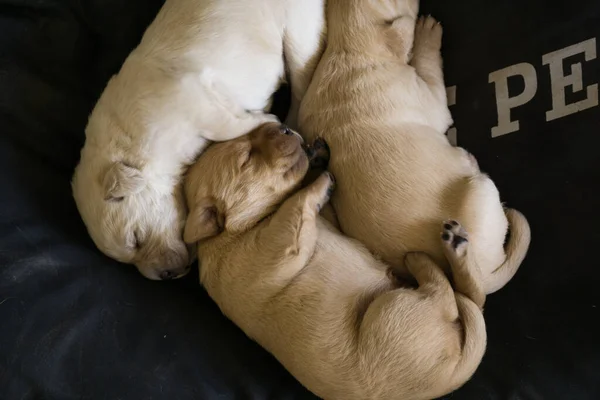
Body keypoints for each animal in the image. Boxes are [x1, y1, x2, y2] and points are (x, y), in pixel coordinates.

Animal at [71, 0, 328, 280]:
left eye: (136, 239)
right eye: (130, 257)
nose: (167, 275)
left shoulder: (195, 101)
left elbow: (228, 126)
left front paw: (265, 118)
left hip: (298, 31)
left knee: (301, 80)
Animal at [183, 121, 488, 400]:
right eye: (246, 157)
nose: (283, 127)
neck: (235, 230)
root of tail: (452, 376)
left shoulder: (320, 221)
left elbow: (307, 202)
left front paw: (317, 156)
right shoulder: (279, 247)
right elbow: (297, 203)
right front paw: (321, 181)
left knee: (472, 297)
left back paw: (456, 244)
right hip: (390, 313)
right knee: (451, 297)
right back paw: (424, 260)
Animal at [296, 0, 528, 294]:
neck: (349, 50)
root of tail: (483, 276)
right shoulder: (431, 97)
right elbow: (428, 66)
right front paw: (426, 33)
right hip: (482, 188)